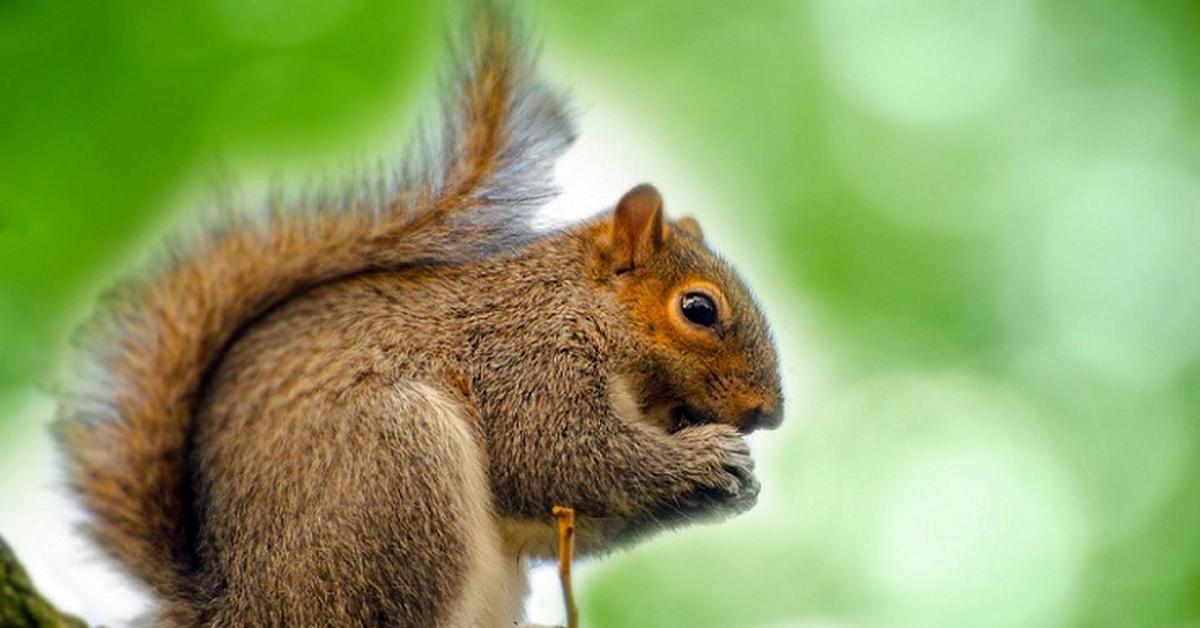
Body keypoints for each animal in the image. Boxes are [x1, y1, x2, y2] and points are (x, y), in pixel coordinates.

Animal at [54, 4, 787, 628]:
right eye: (698, 309)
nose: (767, 414)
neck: (580, 307)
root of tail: (237, 609)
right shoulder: (525, 359)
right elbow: (562, 456)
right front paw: (709, 458)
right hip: (395, 474)